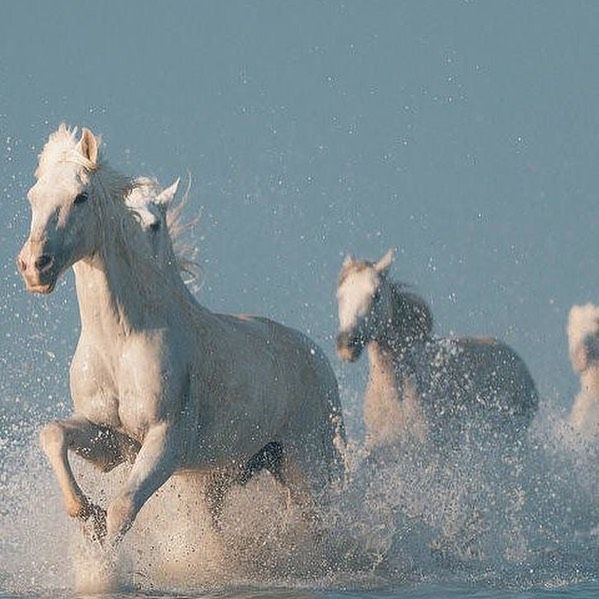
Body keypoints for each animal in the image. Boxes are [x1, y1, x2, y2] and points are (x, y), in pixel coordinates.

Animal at [17, 126, 346, 548]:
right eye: (33, 197)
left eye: (81, 196)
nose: (34, 267)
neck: (122, 339)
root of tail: (318, 356)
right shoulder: (111, 438)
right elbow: (53, 434)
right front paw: (86, 512)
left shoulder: (165, 441)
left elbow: (123, 508)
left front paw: (103, 556)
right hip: (229, 474)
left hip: (306, 463)